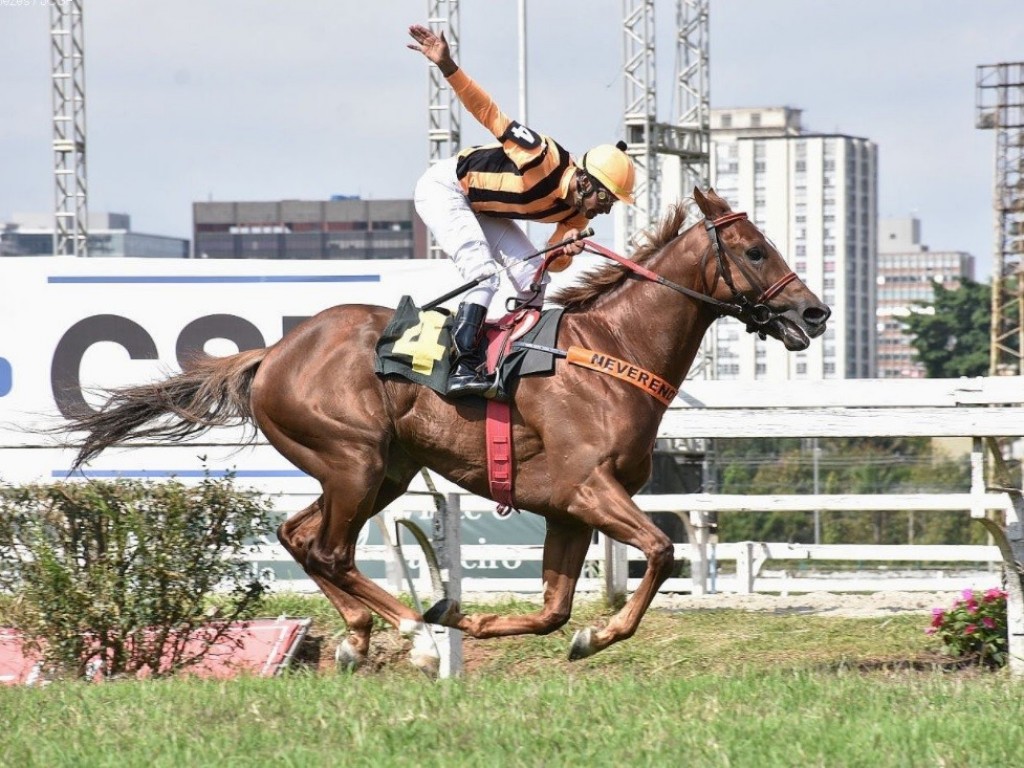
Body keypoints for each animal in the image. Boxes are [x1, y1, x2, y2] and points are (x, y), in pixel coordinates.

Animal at [61, 188, 831, 671]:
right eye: (755, 251)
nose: (815, 313)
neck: (613, 348)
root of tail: (272, 353)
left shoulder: (564, 507)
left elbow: (552, 611)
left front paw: (482, 621)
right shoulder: (588, 488)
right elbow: (662, 551)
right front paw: (599, 631)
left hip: (380, 470)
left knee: (301, 538)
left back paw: (360, 636)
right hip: (354, 459)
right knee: (332, 550)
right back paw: (413, 633)